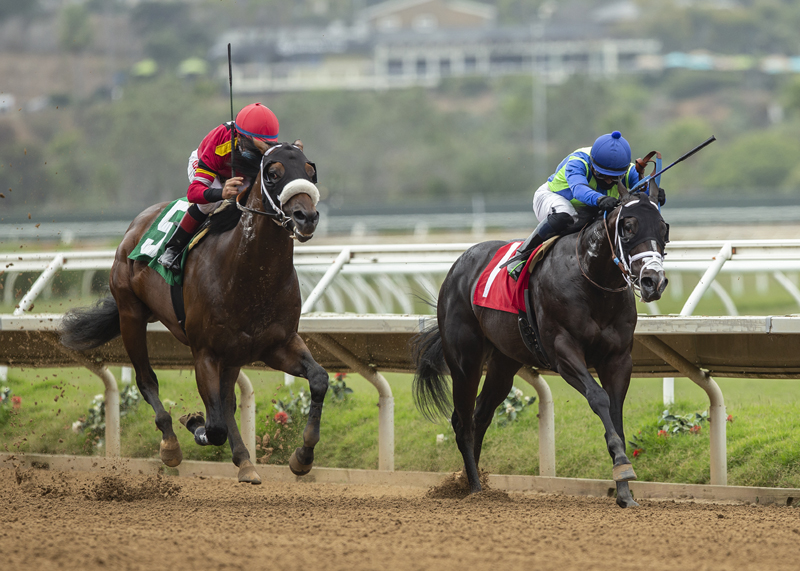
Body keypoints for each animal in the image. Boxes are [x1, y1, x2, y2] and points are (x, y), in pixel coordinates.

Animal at [58, 141, 328, 484]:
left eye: (310, 170)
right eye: (273, 173)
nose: (306, 217)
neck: (249, 275)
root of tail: (135, 225)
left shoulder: (277, 344)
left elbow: (319, 379)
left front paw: (302, 457)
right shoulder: (205, 353)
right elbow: (214, 427)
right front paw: (193, 422)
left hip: (233, 354)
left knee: (226, 402)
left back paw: (245, 462)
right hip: (130, 314)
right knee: (147, 380)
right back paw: (171, 445)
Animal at [412, 181, 668, 508]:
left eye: (663, 228)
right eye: (628, 226)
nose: (653, 281)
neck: (590, 279)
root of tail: (459, 263)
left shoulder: (619, 358)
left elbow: (615, 413)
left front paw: (624, 491)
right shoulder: (562, 350)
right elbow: (598, 398)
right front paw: (623, 465)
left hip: (503, 362)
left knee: (481, 414)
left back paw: (476, 482)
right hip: (464, 361)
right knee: (463, 421)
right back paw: (475, 489)